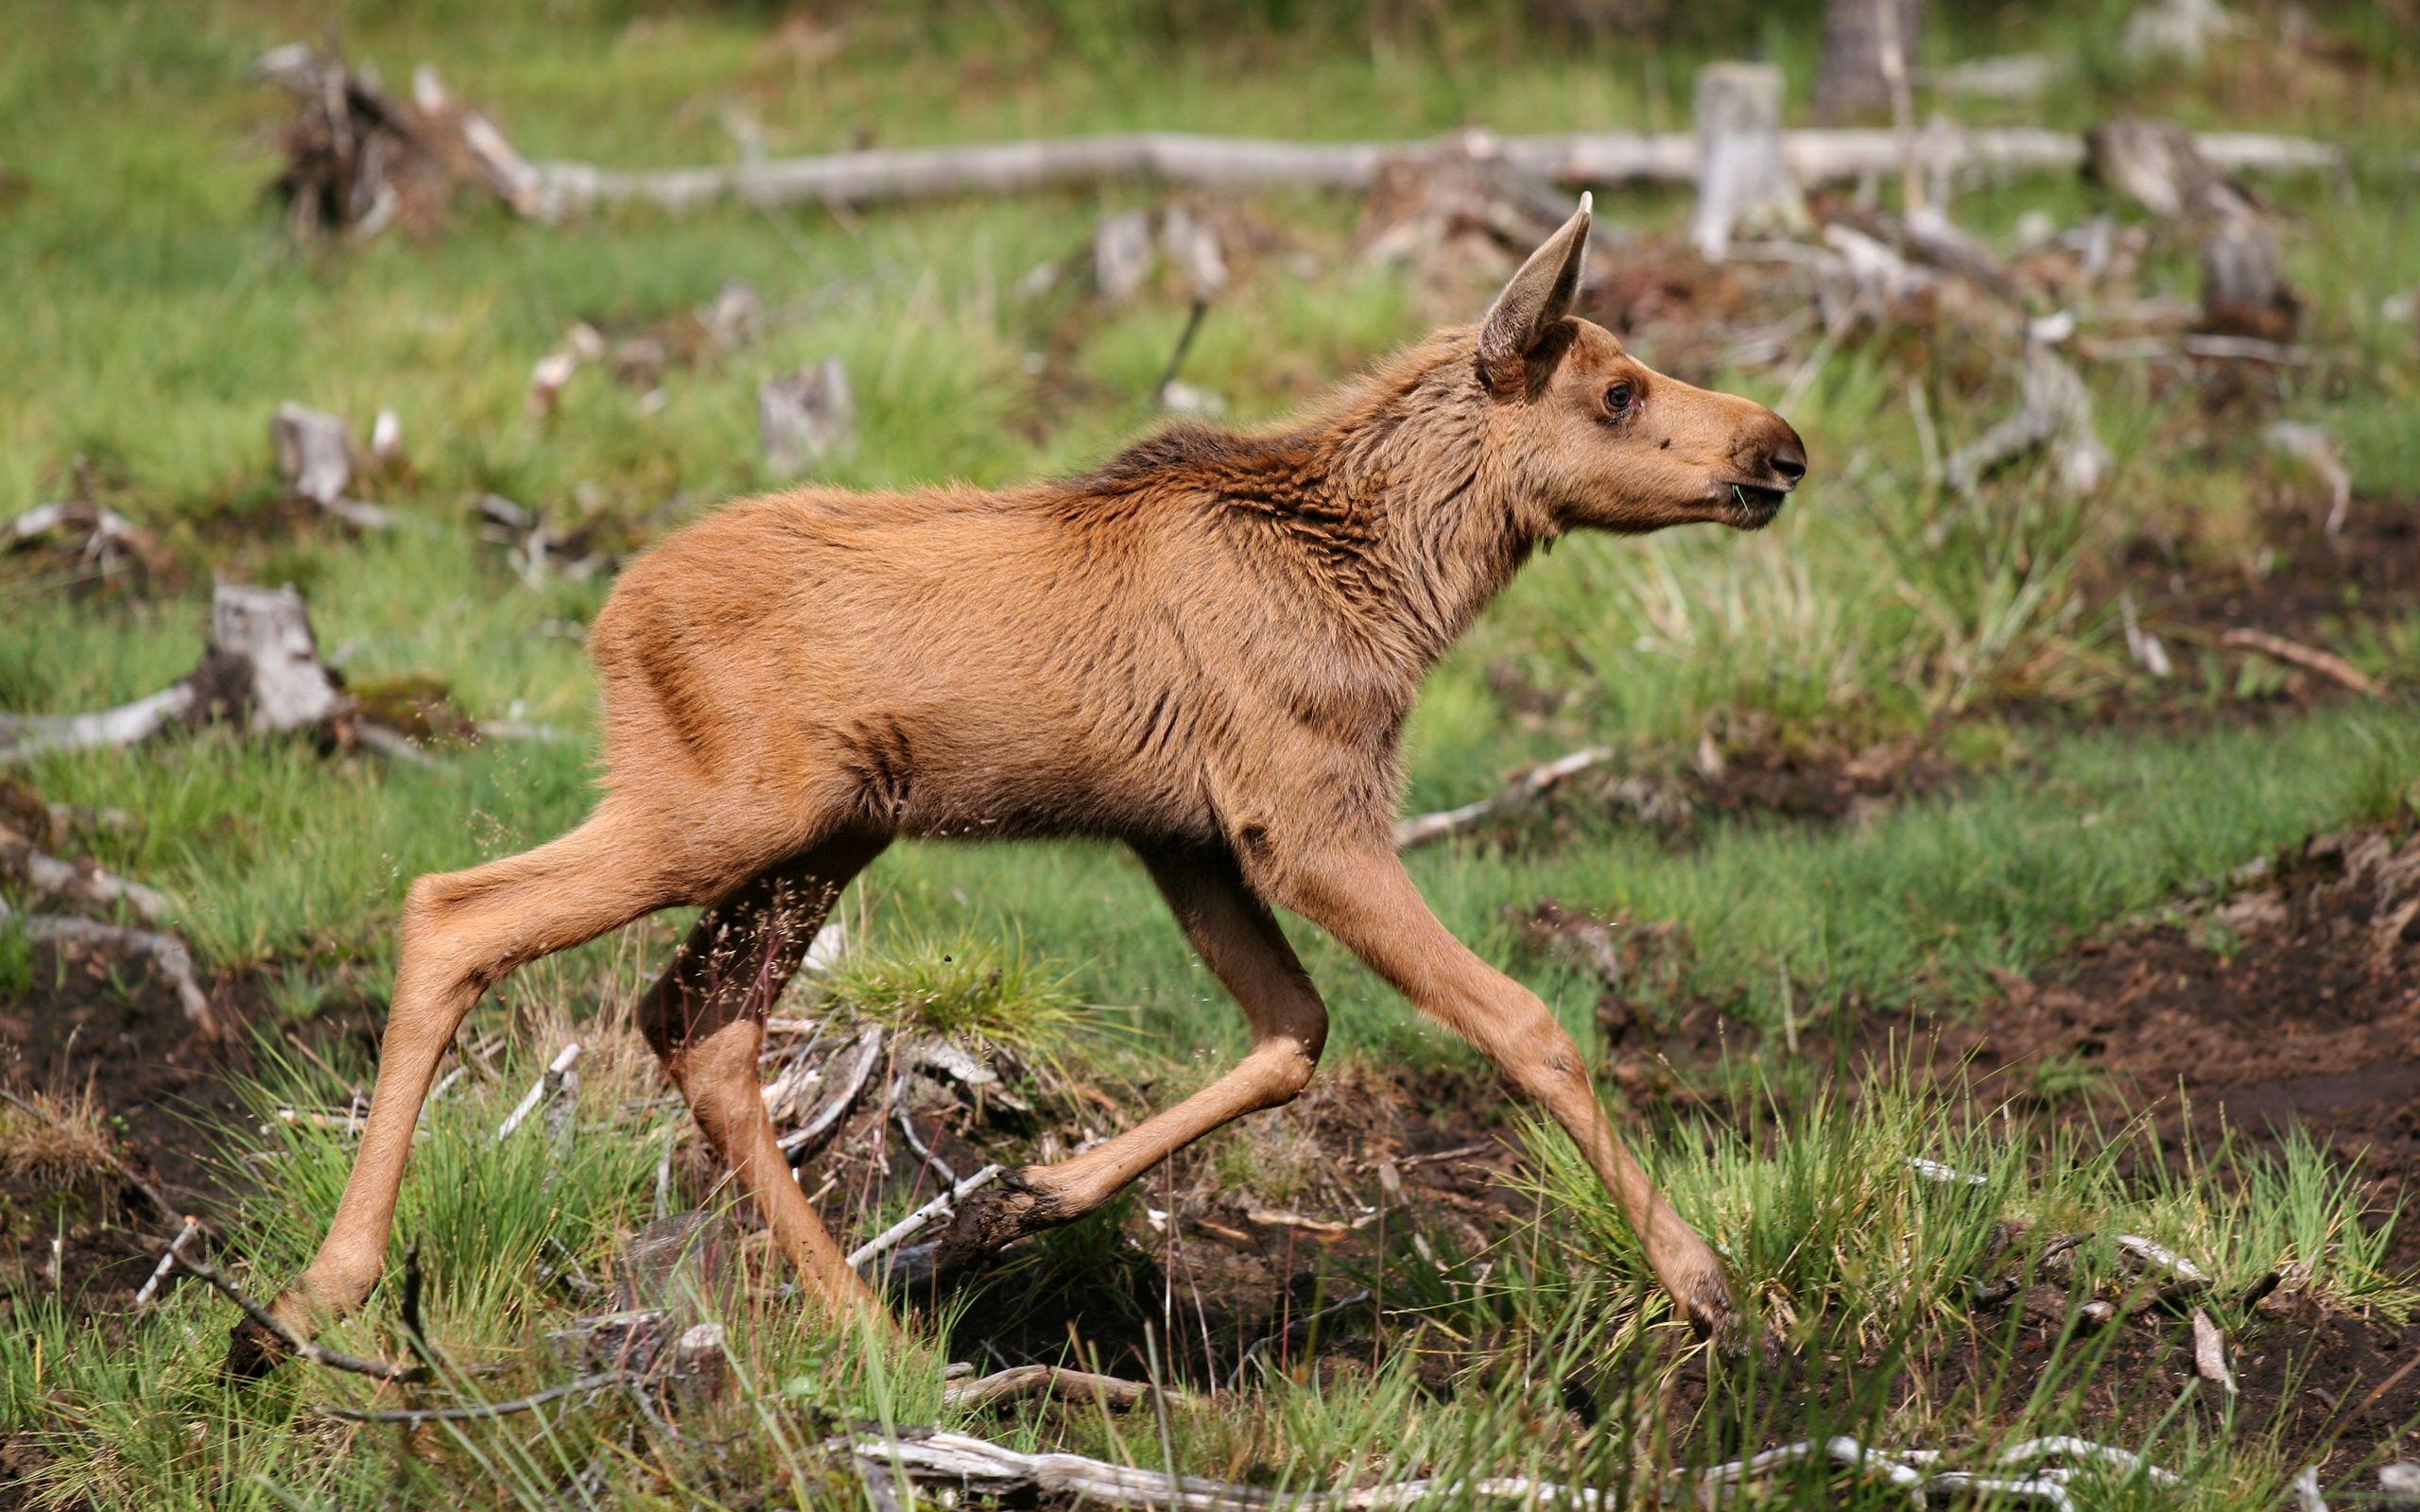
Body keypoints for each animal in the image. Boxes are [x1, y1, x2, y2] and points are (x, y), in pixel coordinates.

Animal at [240, 191, 1800, 1364]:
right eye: (1617, 391)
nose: (1780, 447)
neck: (1399, 586)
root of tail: (609, 617)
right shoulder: (1302, 818)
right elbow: (1525, 1022)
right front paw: (1708, 1286)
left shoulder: (1187, 837)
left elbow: (1294, 1032)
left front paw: (1022, 1199)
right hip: (718, 811)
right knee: (457, 911)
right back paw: (312, 1299)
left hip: (827, 834)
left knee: (699, 1025)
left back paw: (870, 1323)